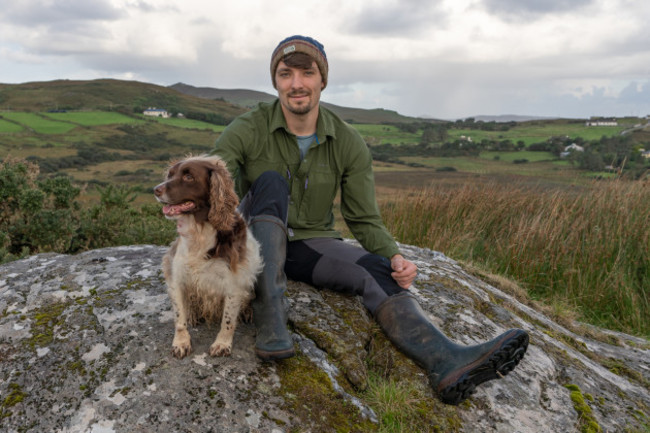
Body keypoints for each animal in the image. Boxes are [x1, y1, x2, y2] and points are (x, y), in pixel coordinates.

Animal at [153, 154, 262, 356]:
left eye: (188, 177)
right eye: (170, 174)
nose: (156, 190)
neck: (200, 232)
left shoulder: (234, 283)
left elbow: (228, 320)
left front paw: (222, 343)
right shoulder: (176, 276)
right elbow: (179, 318)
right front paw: (181, 342)